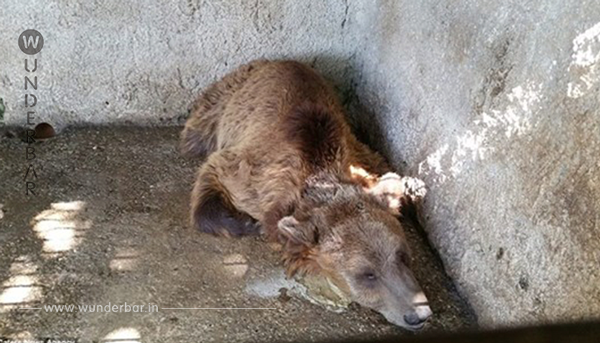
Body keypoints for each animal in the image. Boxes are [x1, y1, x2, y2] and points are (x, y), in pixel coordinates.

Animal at [180, 59, 434, 330]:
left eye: (402, 255)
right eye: (367, 274)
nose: (418, 315)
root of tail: (276, 60)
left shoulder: (364, 156)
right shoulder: (250, 174)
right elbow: (215, 170)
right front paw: (246, 223)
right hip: (222, 100)